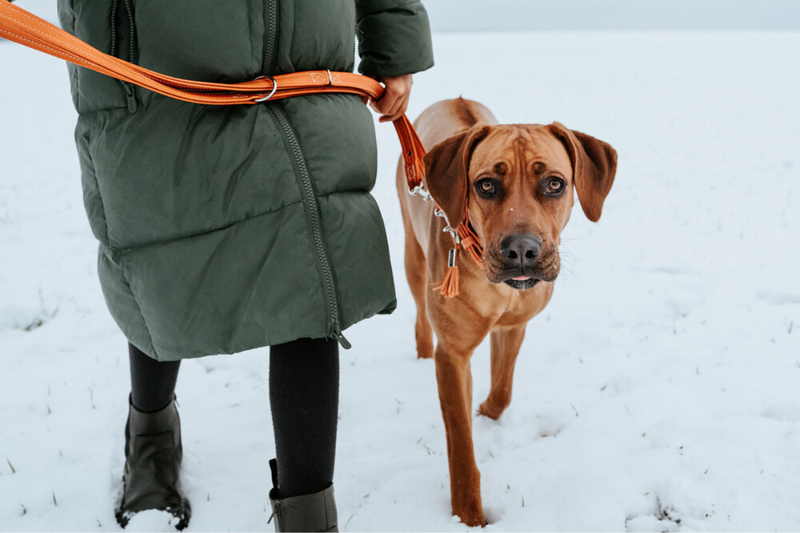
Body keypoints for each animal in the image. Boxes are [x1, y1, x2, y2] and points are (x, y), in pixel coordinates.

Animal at [396, 96, 616, 524]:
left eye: (554, 183)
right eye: (486, 185)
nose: (521, 251)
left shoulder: (514, 326)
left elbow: (503, 391)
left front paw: (485, 411)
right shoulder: (453, 356)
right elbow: (461, 445)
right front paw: (468, 514)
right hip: (413, 253)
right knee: (418, 310)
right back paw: (420, 348)